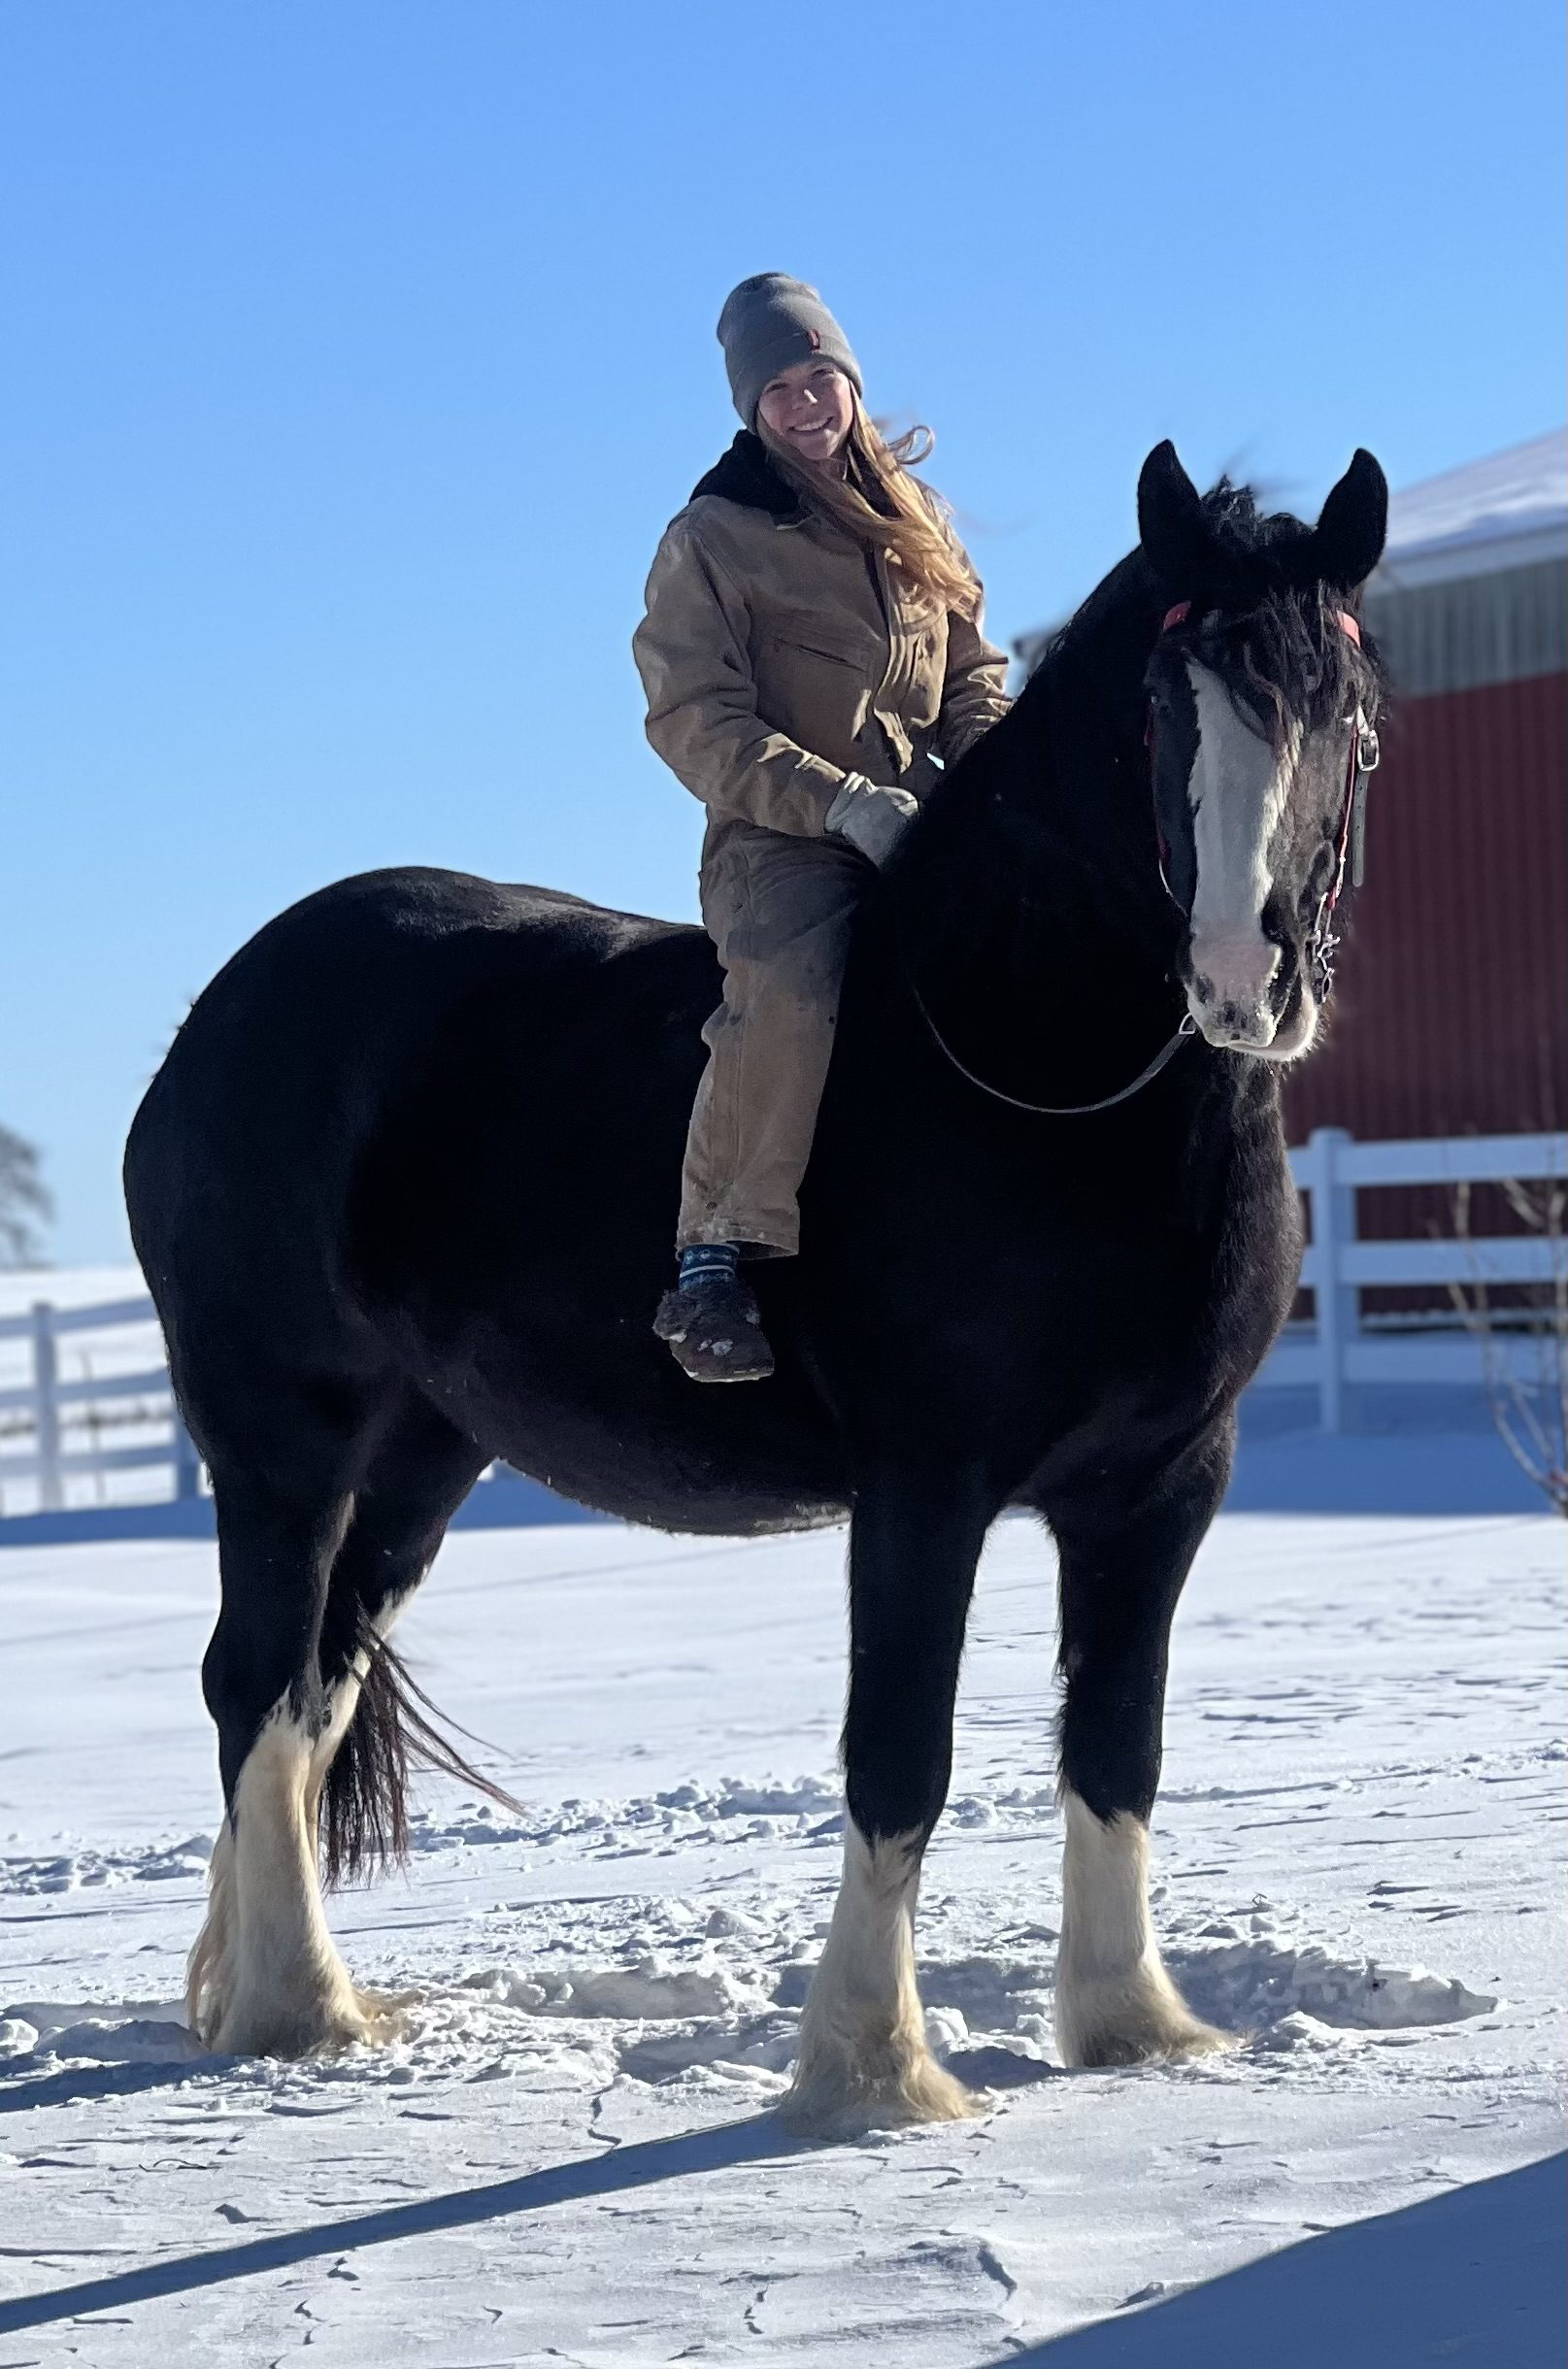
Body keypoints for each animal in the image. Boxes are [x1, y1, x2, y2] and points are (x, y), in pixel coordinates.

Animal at [123, 438, 1388, 2134]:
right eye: (1157, 711)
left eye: (1341, 701)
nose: (1247, 980)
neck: (1037, 1069)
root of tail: (219, 1018)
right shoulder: (923, 1484)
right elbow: (898, 1752)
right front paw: (873, 2068)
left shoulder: (1161, 1486)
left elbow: (1117, 1745)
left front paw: (1131, 2025)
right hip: (283, 1440)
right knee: (252, 1684)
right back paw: (293, 2007)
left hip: (414, 1460)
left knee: (313, 1689)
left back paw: (274, 1993)